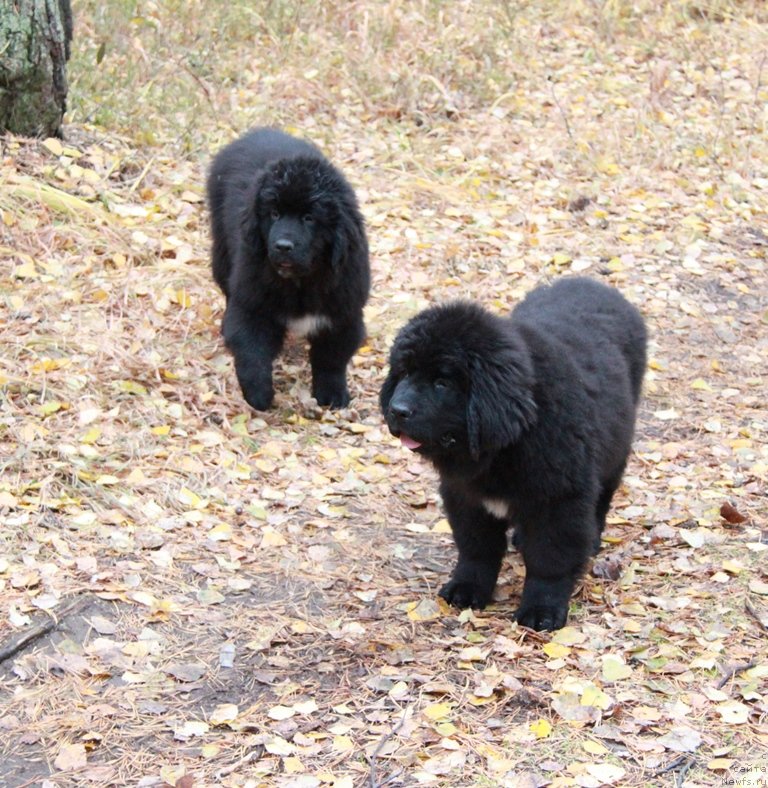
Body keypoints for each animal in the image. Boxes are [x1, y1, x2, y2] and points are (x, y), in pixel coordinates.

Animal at [207, 126, 368, 410]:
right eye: (274, 214)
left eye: (309, 218)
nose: (282, 246)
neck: (301, 282)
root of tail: (259, 132)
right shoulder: (253, 304)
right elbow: (252, 351)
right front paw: (259, 395)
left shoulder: (344, 312)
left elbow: (332, 359)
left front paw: (332, 395)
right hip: (222, 251)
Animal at [380, 280, 644, 632]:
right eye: (405, 372)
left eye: (442, 383)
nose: (397, 410)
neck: (508, 443)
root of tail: (594, 283)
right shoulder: (466, 497)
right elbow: (476, 549)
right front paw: (466, 589)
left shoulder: (558, 500)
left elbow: (550, 559)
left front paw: (542, 610)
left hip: (614, 453)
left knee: (602, 500)